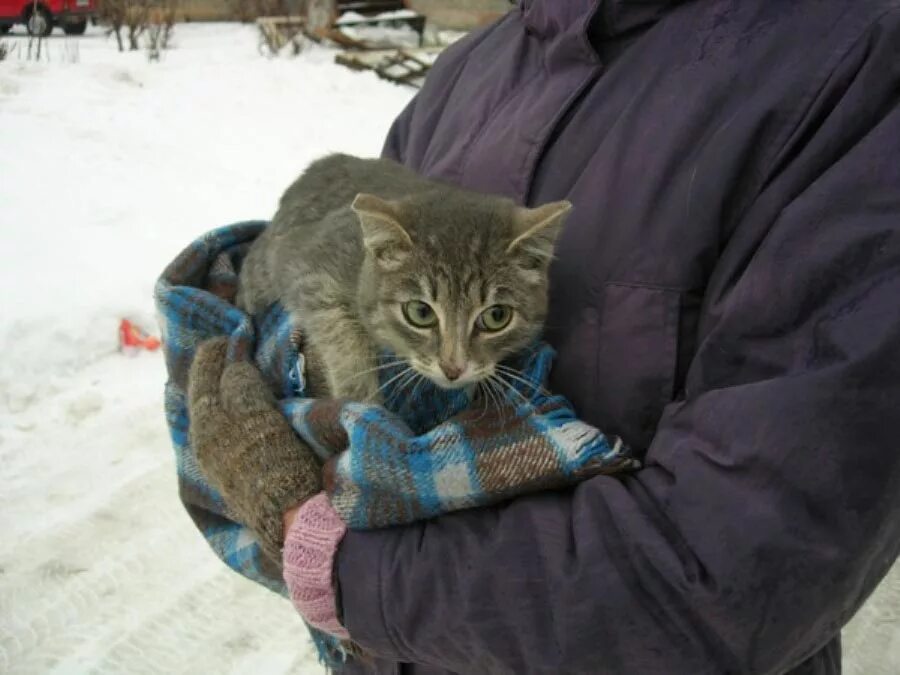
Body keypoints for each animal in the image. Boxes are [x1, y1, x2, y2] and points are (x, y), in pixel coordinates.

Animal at [237, 153, 568, 404]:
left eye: (497, 316)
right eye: (420, 313)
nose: (453, 368)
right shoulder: (305, 266)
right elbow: (343, 337)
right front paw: (362, 402)